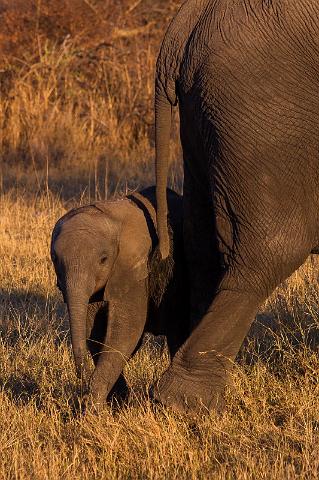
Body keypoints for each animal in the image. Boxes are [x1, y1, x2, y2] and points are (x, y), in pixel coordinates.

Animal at [51, 187, 189, 404]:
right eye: (54, 258)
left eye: (103, 260)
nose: (81, 375)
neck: (108, 213)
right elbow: (95, 330)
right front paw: (116, 401)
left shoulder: (134, 268)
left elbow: (126, 328)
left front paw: (92, 406)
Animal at [154, 0, 319, 412]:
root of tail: (193, 15)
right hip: (266, 110)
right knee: (271, 250)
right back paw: (186, 403)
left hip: (207, 120)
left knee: (203, 248)